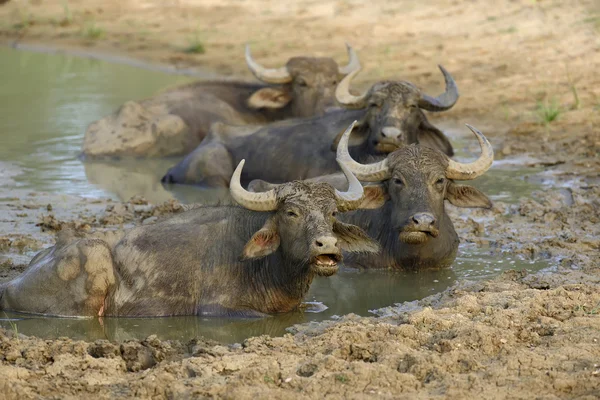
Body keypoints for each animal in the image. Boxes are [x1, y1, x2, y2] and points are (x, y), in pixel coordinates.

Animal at [0, 159, 378, 316]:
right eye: (291, 213)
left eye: (332, 213)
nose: (327, 245)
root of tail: (9, 287)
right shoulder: (219, 310)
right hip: (92, 262)